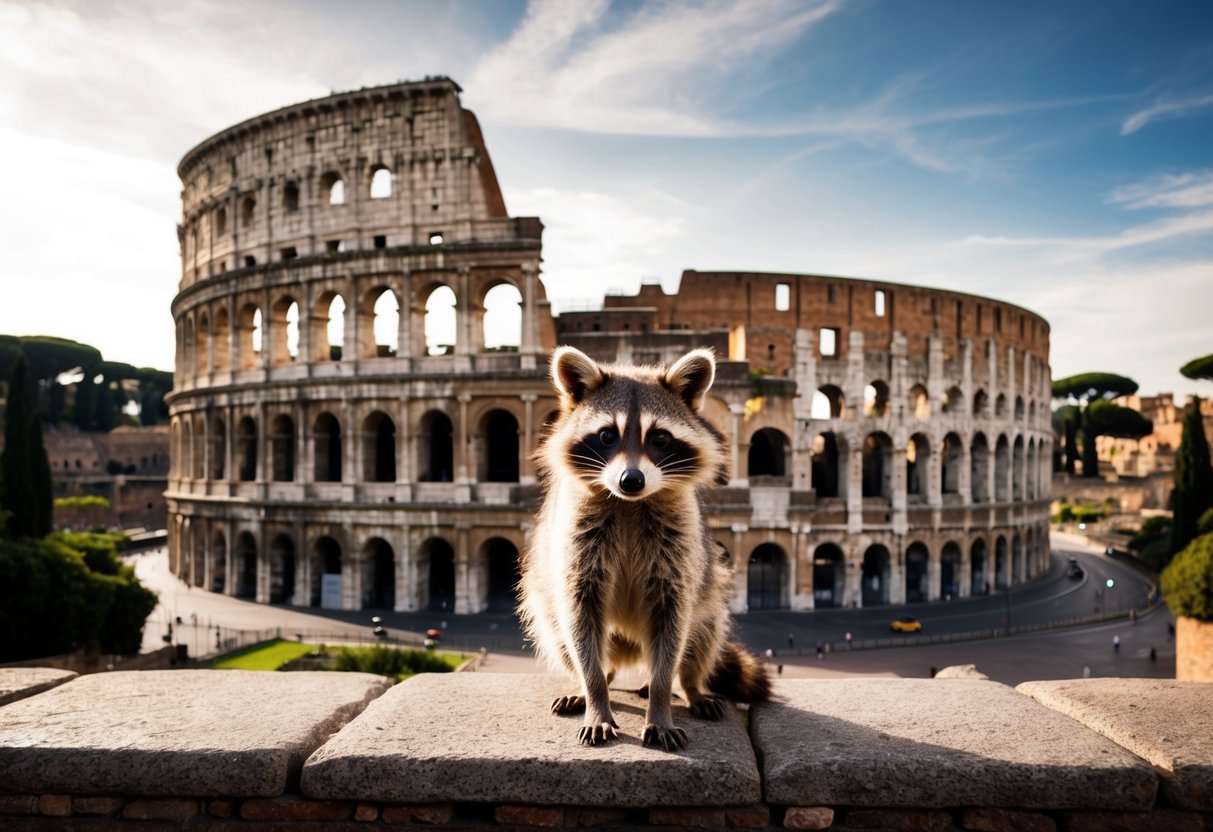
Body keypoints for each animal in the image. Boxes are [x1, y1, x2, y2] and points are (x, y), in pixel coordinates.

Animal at [519, 346, 771, 751]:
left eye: (660, 438)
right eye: (607, 435)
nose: (631, 480)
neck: (628, 504)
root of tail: (631, 646)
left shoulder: (678, 548)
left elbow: (673, 620)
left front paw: (662, 701)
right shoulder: (576, 541)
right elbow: (578, 615)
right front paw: (596, 699)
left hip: (707, 600)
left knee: (703, 633)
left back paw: (689, 686)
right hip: (549, 605)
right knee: (560, 633)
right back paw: (592, 682)